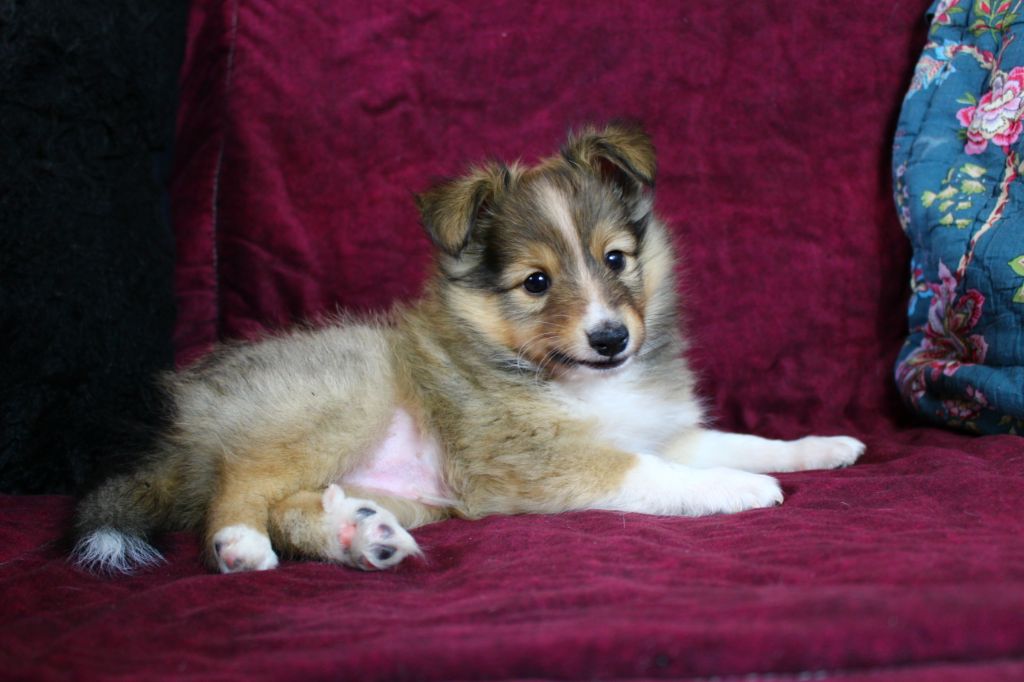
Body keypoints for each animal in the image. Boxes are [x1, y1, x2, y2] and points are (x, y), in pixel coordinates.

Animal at [72, 124, 865, 574]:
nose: (612, 338)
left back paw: (361, 538)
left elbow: (743, 440)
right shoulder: (542, 462)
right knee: (242, 481)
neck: (576, 379)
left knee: (293, 507)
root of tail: (189, 425)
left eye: (615, 259)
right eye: (536, 282)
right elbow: (655, 476)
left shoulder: (660, 430)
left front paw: (823, 448)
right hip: (338, 401)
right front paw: (738, 490)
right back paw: (240, 544)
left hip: (408, 494)